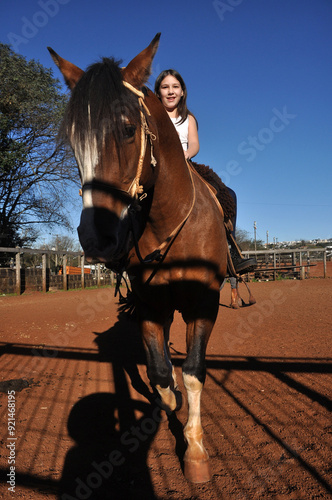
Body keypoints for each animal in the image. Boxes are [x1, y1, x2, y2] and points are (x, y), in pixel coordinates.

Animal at [49, 33, 230, 482]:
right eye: (74, 141)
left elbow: (195, 372)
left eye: (129, 129)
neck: (169, 224)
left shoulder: (203, 304)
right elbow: (162, 374)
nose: (96, 236)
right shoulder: (150, 306)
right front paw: (171, 408)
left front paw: (195, 453)